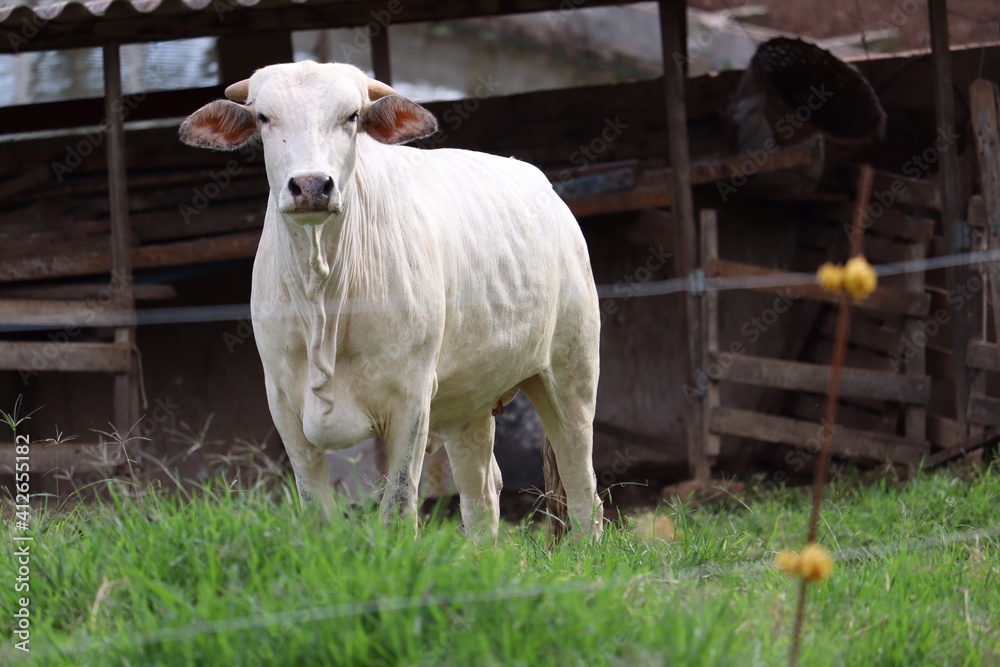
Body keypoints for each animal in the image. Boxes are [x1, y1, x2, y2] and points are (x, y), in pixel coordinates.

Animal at [179, 61, 602, 542]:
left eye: (351, 117)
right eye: (264, 118)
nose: (311, 185)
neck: (325, 302)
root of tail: (548, 192)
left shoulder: (411, 403)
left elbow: (398, 511)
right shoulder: (285, 407)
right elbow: (317, 513)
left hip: (571, 372)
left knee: (582, 484)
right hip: (470, 401)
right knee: (482, 495)